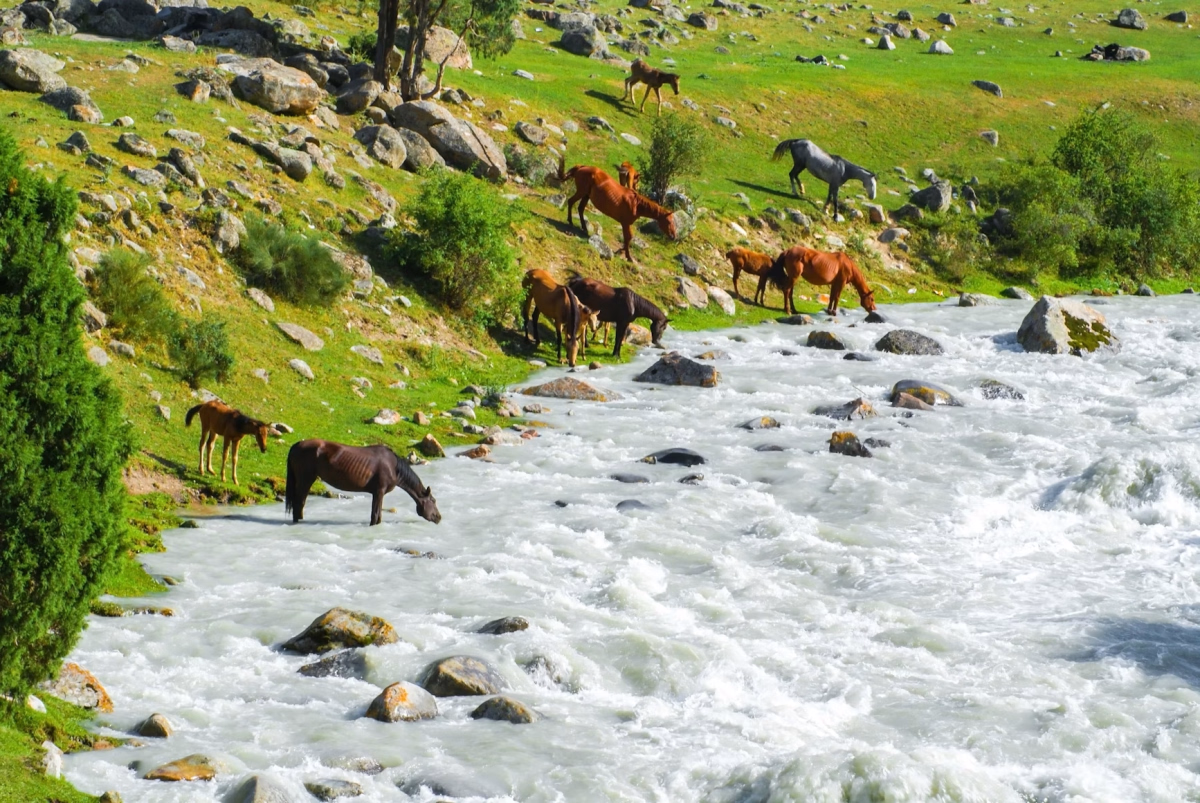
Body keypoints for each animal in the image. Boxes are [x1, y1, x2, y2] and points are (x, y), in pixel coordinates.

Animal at [285, 440, 441, 527]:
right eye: (433, 500)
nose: (439, 517)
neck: (394, 467)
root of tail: (296, 445)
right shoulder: (379, 492)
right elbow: (375, 515)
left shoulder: (378, 494)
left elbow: (378, 515)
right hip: (305, 479)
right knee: (298, 503)